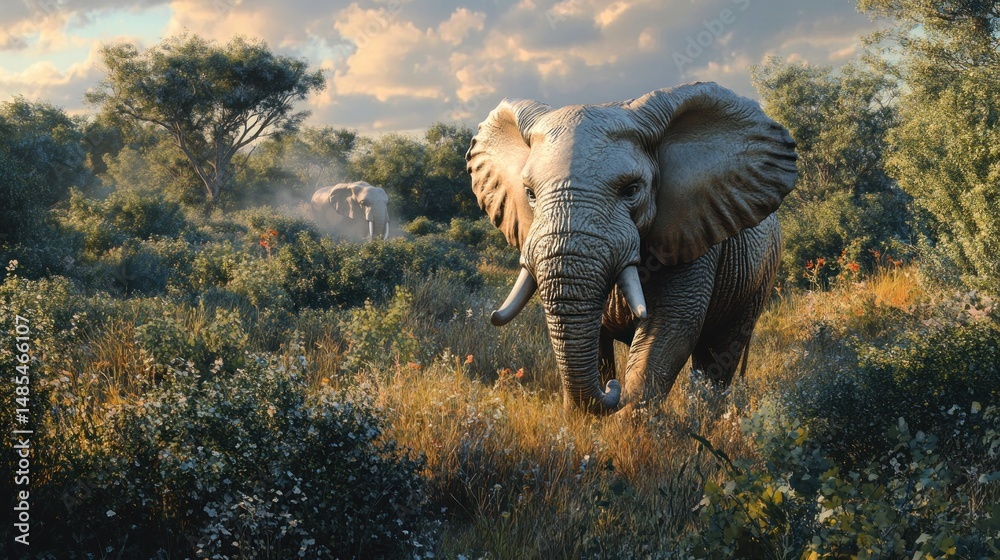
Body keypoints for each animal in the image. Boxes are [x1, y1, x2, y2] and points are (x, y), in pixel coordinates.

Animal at [466, 82, 797, 414]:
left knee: (718, 353)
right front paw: (582, 419)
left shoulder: (692, 237)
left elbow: (670, 328)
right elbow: (591, 336)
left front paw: (629, 422)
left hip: (759, 275)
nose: (612, 388)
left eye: (631, 190)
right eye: (530, 194)